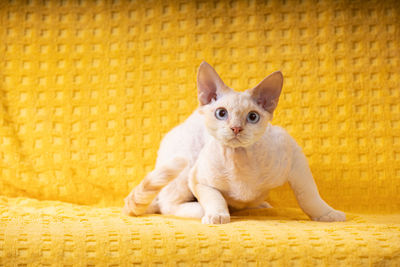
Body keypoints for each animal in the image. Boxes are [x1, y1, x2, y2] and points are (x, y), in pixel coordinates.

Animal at [123, 60, 346, 224]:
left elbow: (309, 196)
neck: (240, 160)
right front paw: (217, 214)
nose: (236, 128)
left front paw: (327, 214)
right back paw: (202, 210)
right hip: (185, 164)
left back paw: (258, 205)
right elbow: (214, 197)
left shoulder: (295, 159)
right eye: (221, 113)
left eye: (253, 117)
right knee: (168, 205)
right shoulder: (198, 178)